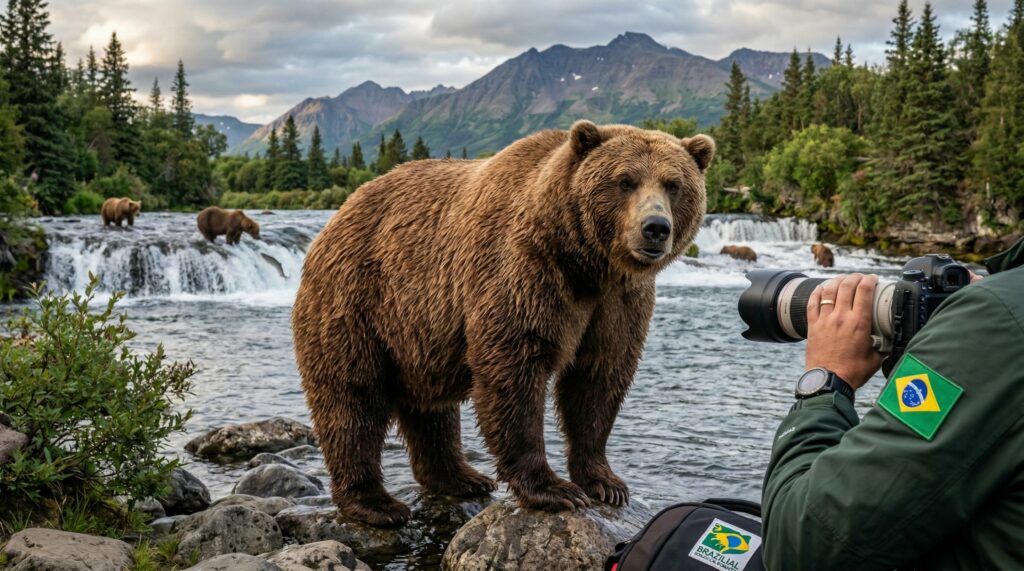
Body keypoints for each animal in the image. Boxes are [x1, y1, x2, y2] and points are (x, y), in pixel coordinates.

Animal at [292, 120, 714, 526]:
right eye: (625, 180)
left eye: (673, 185)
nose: (655, 227)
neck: (587, 264)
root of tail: (337, 217)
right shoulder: (524, 272)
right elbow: (515, 370)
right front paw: (553, 489)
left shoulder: (618, 303)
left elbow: (598, 379)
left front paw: (605, 483)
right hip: (358, 301)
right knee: (352, 399)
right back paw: (376, 503)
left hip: (417, 333)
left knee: (430, 411)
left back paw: (461, 477)